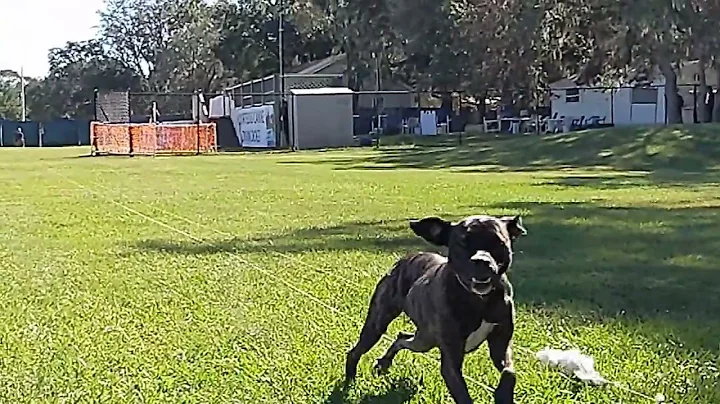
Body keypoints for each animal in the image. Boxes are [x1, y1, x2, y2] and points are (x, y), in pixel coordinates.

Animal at [344, 215, 524, 404]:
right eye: (462, 243)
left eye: (499, 242)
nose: (481, 261)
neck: (479, 300)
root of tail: (404, 259)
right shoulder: (451, 362)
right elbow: (464, 396)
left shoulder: (500, 345)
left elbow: (509, 372)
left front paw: (503, 395)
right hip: (379, 326)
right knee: (356, 351)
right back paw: (350, 381)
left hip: (424, 339)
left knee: (401, 337)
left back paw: (383, 363)